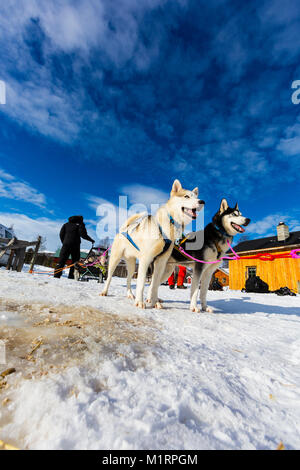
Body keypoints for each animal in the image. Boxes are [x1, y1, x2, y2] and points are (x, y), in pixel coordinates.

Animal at [101, 180, 204, 308]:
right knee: (109, 277)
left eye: (196, 197)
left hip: (132, 265)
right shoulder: (145, 260)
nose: (202, 201)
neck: (169, 225)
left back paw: (130, 294)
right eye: (186, 196)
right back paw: (105, 291)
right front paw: (140, 302)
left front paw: (155, 302)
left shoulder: (160, 263)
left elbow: (154, 285)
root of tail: (123, 229)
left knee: (129, 279)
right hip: (115, 260)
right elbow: (141, 283)